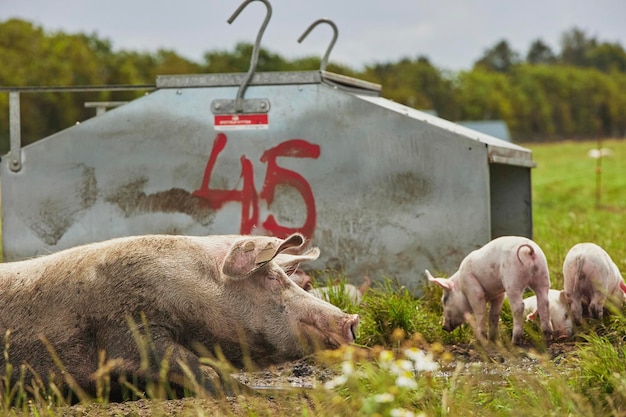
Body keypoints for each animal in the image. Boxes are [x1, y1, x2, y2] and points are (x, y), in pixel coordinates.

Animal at [424, 236, 552, 342]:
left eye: (444, 300)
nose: (444, 327)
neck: (460, 284)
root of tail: (530, 251)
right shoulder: (499, 294)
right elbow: (493, 315)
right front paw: (493, 340)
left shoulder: (473, 289)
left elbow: (480, 313)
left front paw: (480, 340)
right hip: (542, 275)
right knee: (544, 302)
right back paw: (547, 338)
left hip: (513, 279)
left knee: (519, 306)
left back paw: (515, 341)